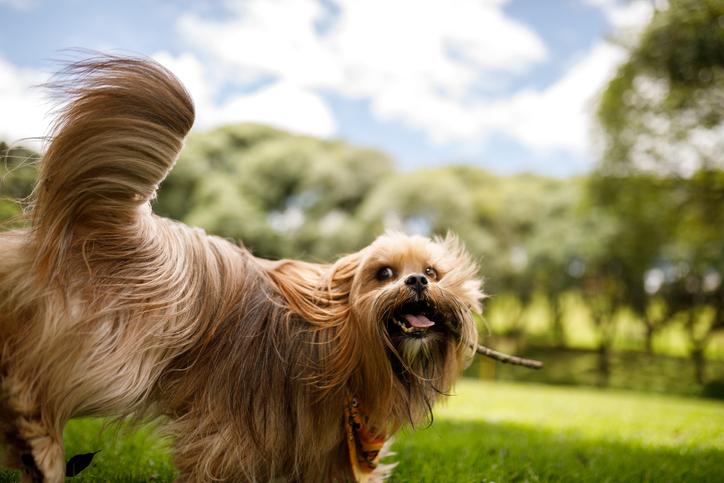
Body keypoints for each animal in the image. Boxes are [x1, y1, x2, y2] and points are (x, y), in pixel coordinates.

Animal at [1, 55, 486, 480]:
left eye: (434, 272)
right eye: (384, 273)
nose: (417, 281)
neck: (343, 342)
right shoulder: (237, 421)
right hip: (117, 342)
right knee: (43, 377)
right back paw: (37, 443)